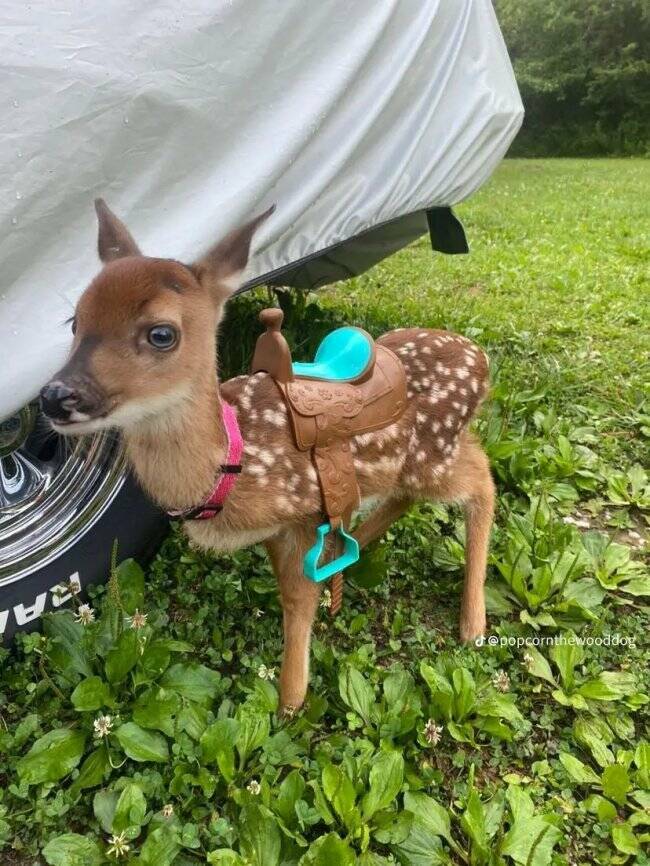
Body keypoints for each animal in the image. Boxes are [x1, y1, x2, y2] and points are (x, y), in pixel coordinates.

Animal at [40, 200, 495, 714]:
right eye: (75, 321)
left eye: (161, 333)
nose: (55, 396)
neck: (233, 461)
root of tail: (481, 359)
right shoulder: (281, 528)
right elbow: (292, 594)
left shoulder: (304, 513)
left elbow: (298, 601)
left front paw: (290, 702)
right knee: (412, 492)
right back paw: (354, 550)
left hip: (434, 451)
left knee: (483, 478)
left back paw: (473, 624)